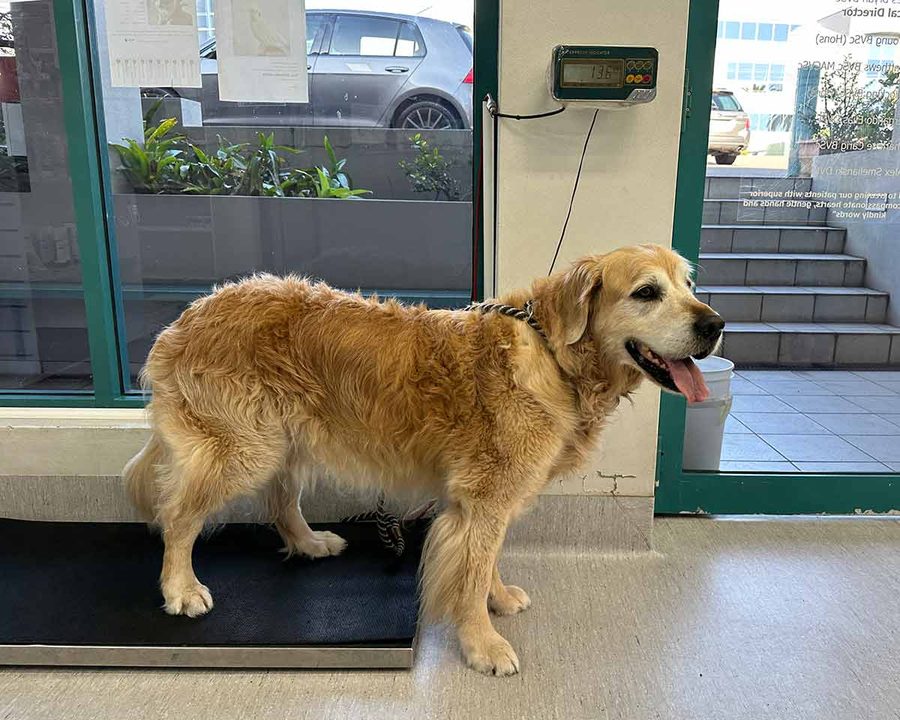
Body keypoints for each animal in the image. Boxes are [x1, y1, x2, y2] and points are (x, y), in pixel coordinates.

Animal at [124, 243, 723, 676]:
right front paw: (483, 645)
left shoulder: (489, 500)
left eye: (689, 285)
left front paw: (498, 599)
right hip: (242, 448)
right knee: (177, 518)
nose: (715, 325)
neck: (554, 357)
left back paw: (310, 543)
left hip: (286, 441)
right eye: (647, 291)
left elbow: (485, 562)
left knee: (279, 502)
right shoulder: (483, 499)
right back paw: (180, 588)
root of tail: (189, 314)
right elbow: (471, 573)